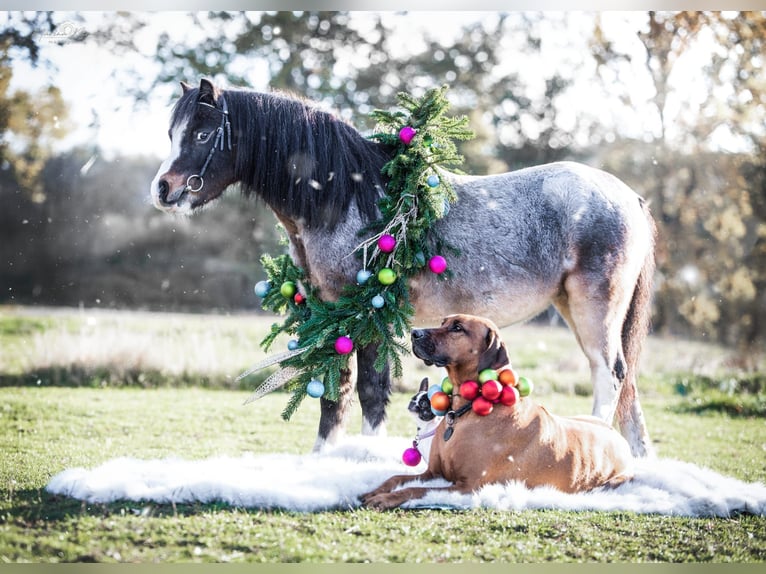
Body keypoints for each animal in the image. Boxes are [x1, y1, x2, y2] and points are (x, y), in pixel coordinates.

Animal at [150, 78, 657, 458]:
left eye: (201, 134)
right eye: (173, 132)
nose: (163, 189)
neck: (346, 198)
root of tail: (627, 196)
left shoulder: (366, 312)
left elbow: (370, 390)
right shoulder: (330, 315)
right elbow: (335, 391)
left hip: (594, 308)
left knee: (610, 374)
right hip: (575, 306)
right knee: (627, 382)